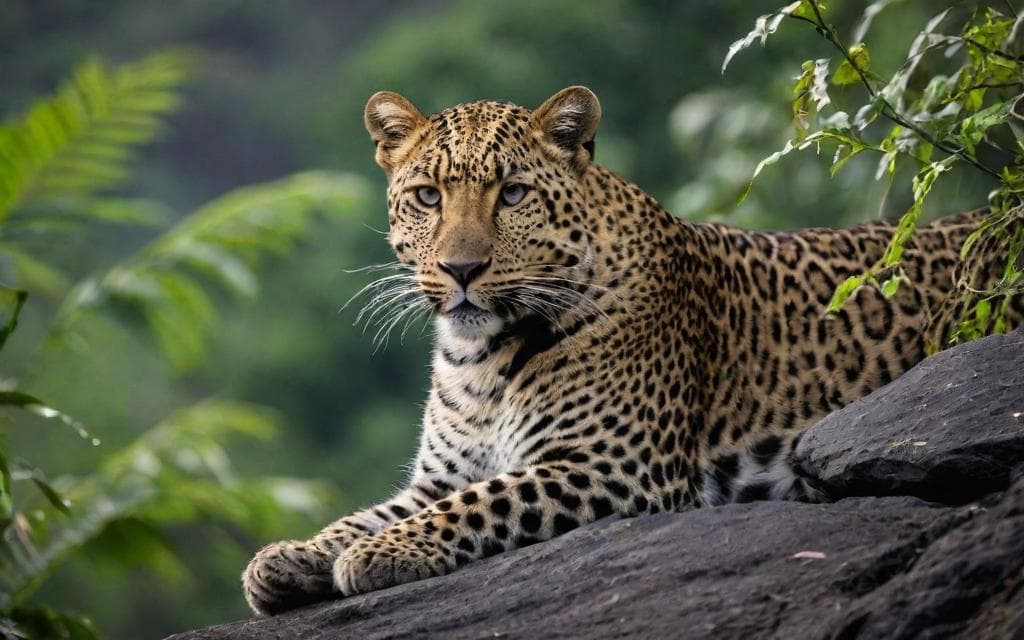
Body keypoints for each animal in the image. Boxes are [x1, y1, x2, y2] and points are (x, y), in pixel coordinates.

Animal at [242, 86, 1022, 615]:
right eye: (429, 197)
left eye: (513, 194)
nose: (461, 269)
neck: (481, 358)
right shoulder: (437, 477)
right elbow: (373, 511)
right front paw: (287, 559)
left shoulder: (612, 468)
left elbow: (477, 504)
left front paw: (378, 554)